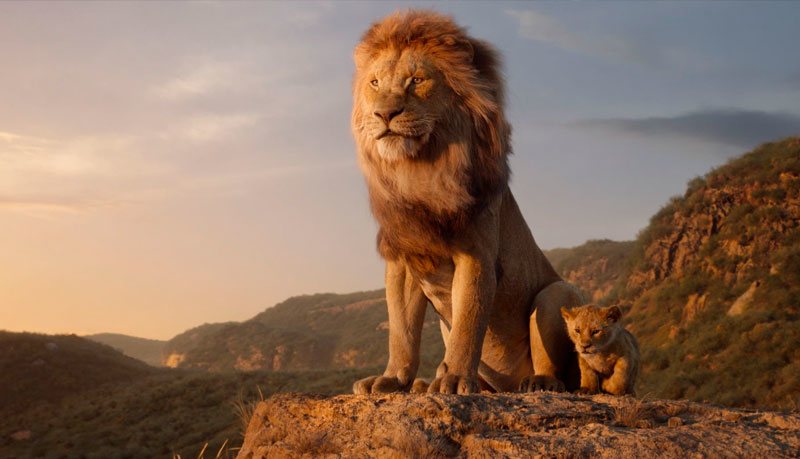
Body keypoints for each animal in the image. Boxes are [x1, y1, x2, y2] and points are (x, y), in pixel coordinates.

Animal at [351, 10, 584, 395]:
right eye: (374, 83)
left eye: (417, 80)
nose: (385, 114)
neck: (420, 172)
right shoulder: (403, 259)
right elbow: (401, 331)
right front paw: (393, 379)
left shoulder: (476, 255)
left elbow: (468, 323)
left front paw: (456, 379)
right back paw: (425, 384)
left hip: (556, 293)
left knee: (559, 371)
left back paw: (537, 382)